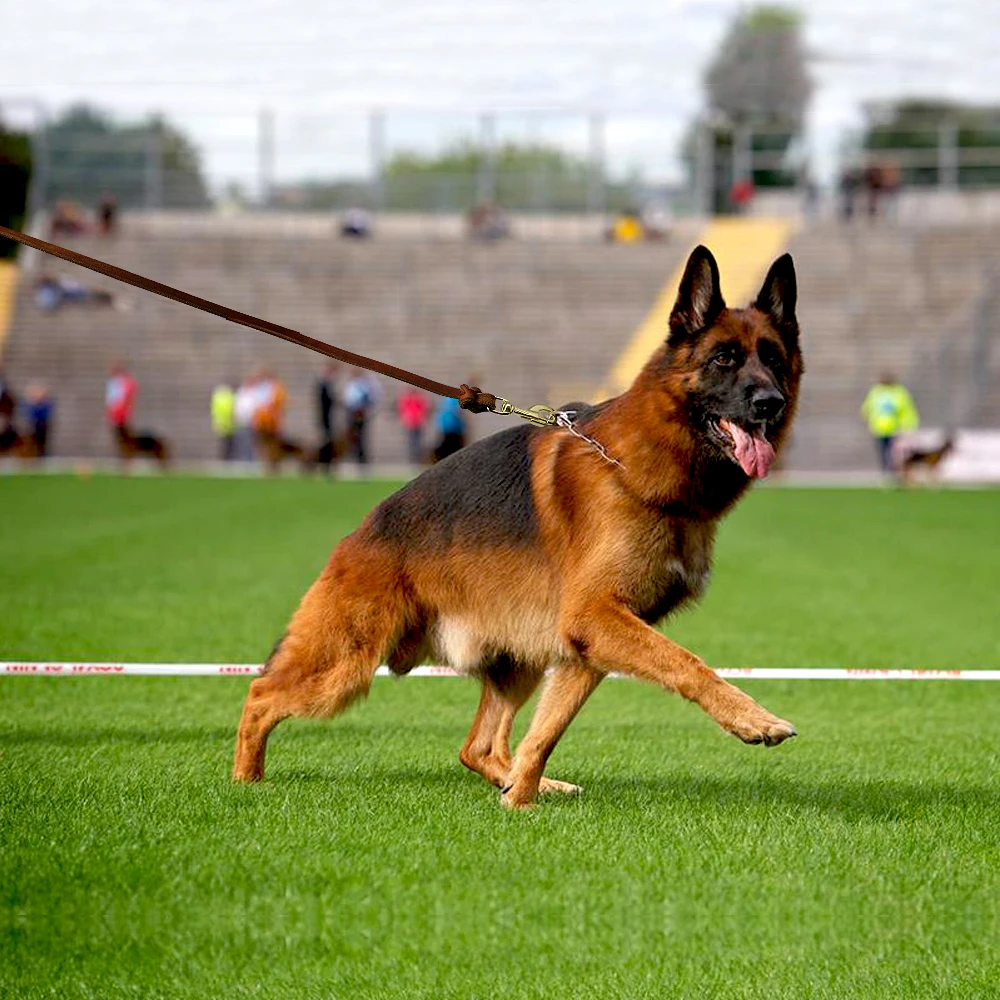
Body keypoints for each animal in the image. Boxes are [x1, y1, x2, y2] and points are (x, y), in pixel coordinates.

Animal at [234, 246, 804, 808]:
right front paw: (753, 719)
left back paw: (528, 787)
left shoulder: (588, 642)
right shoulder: (597, 618)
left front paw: (521, 802)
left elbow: (546, 732)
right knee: (260, 695)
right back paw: (245, 782)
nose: (769, 403)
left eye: (774, 360)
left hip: (518, 657)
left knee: (479, 747)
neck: (634, 466)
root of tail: (359, 535)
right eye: (723, 359)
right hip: (345, 664)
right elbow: (687, 663)